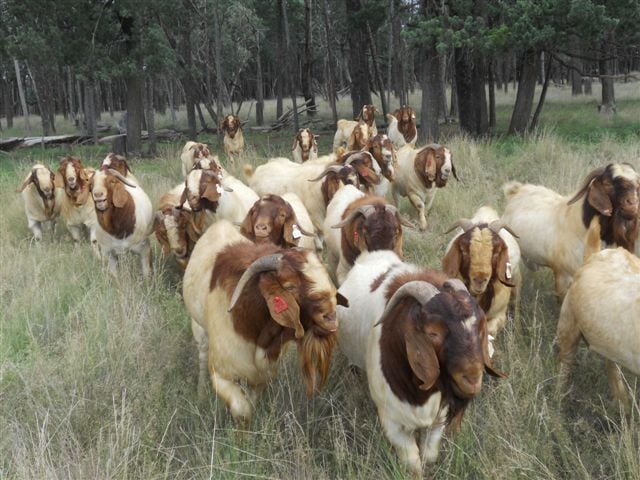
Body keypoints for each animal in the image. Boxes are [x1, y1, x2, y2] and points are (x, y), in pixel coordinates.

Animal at [183, 220, 349, 423]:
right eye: (289, 286)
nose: (330, 319)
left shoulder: (262, 376)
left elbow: (251, 404)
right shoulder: (223, 375)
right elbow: (243, 412)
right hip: (199, 328)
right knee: (202, 355)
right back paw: (200, 394)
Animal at [337, 250, 504, 475]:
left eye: (479, 328)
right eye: (433, 332)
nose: (472, 379)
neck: (419, 394)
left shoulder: (438, 421)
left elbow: (429, 456)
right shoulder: (393, 423)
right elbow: (413, 464)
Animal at [501, 163, 639, 298]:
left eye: (637, 184)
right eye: (607, 183)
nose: (632, 204)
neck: (581, 226)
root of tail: (516, 190)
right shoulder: (563, 274)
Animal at [557, 218, 640, 408]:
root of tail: (593, 256)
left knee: (612, 365)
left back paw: (622, 403)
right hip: (568, 324)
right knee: (565, 362)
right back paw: (557, 399)